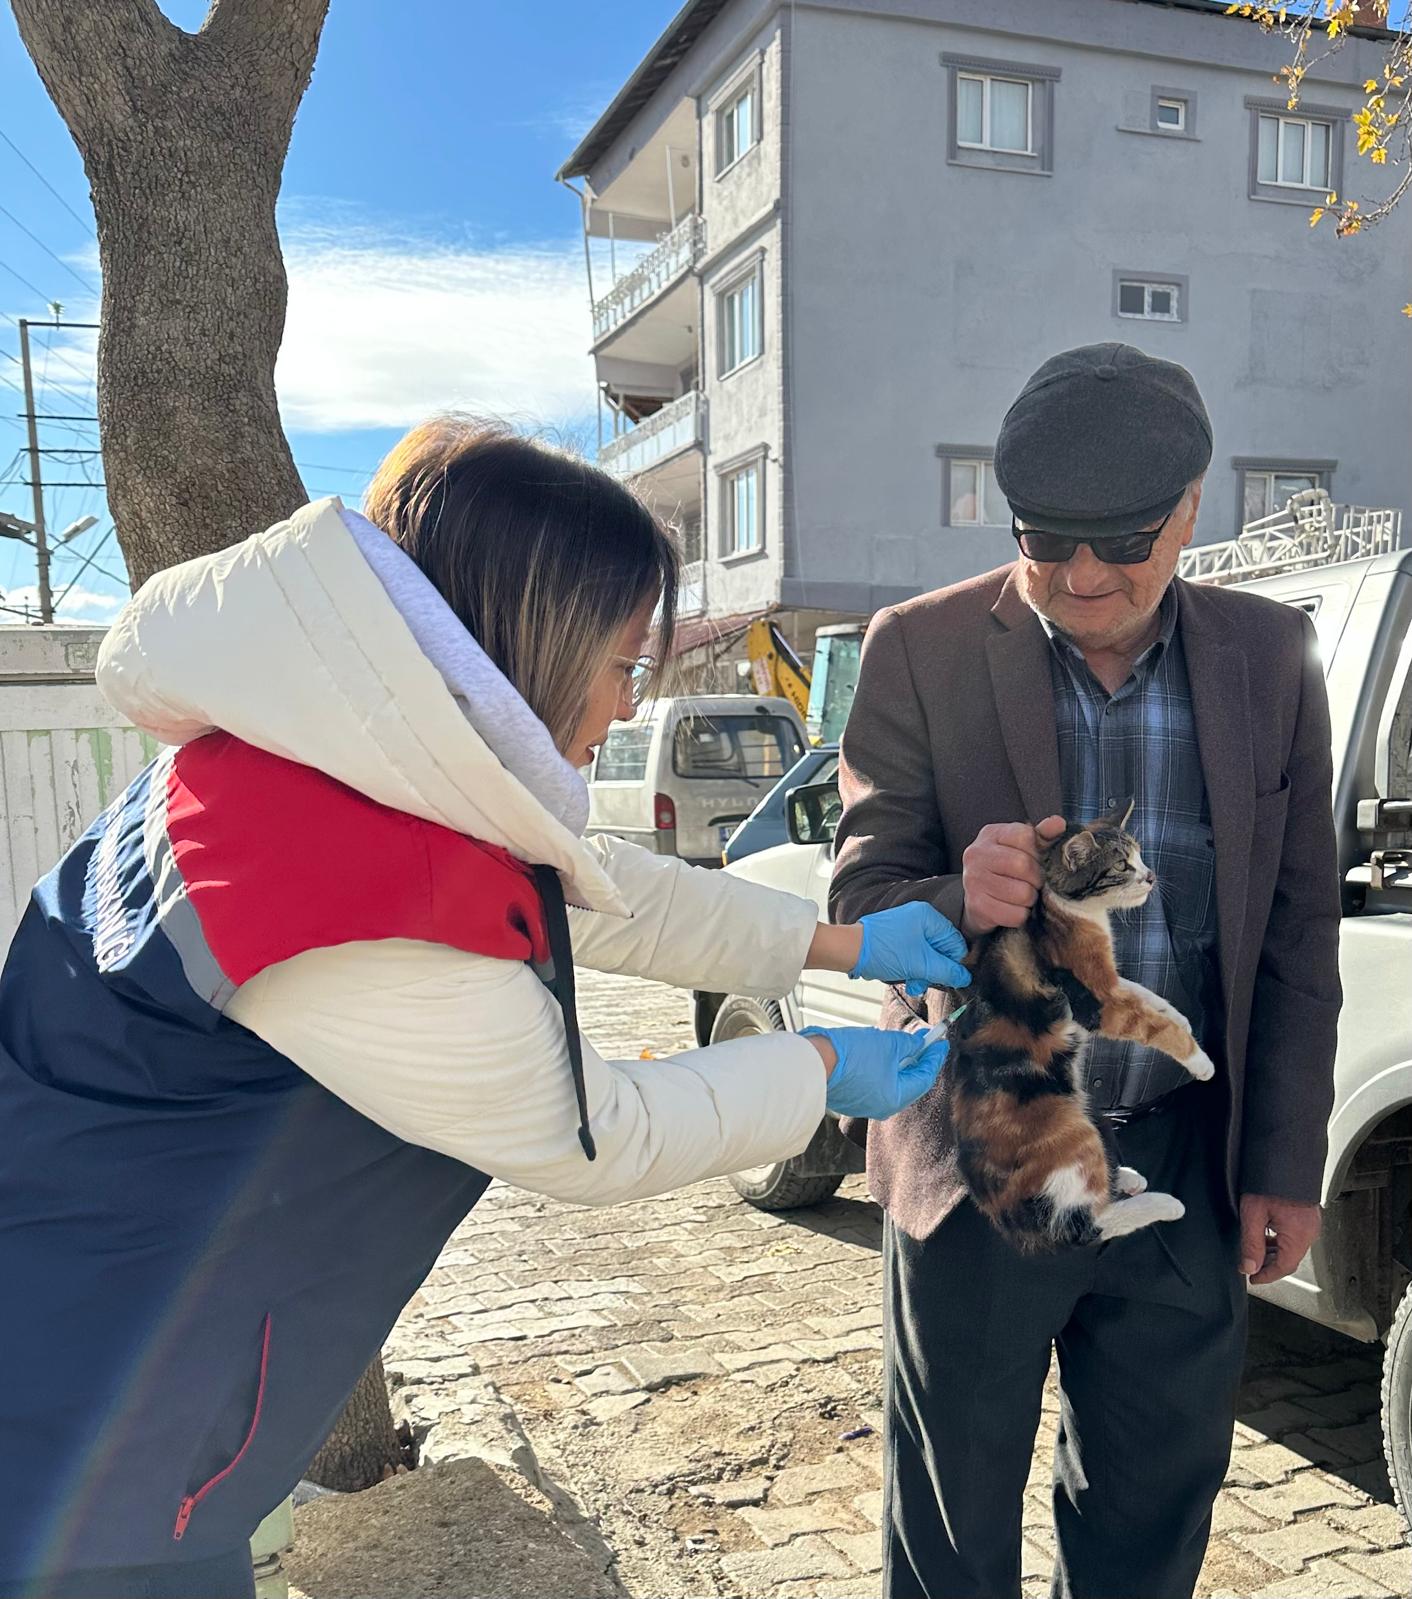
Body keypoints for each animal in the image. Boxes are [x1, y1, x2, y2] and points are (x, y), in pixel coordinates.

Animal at [940, 796, 1215, 1247]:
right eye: (1121, 865)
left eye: (1139, 855)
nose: (1151, 876)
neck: (1070, 911)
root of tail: (1014, 1217)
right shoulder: (1099, 1002)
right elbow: (1151, 1025)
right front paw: (1199, 1059)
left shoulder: (1107, 984)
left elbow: (1142, 992)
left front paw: (1179, 1015)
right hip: (1071, 1134)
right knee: (1089, 1224)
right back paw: (1161, 1202)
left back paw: (1126, 1177)